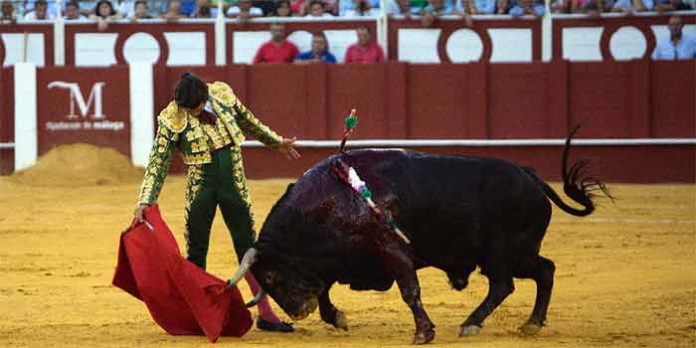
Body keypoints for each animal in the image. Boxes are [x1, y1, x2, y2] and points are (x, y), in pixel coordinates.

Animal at [226, 129, 608, 344]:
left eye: (272, 276)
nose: (297, 312)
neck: (330, 199)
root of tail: (531, 177)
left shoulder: (393, 252)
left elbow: (410, 291)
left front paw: (423, 333)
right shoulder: (336, 261)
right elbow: (324, 293)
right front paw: (338, 318)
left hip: (500, 253)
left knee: (503, 285)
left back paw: (471, 324)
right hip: (518, 253)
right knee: (545, 270)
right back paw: (531, 324)